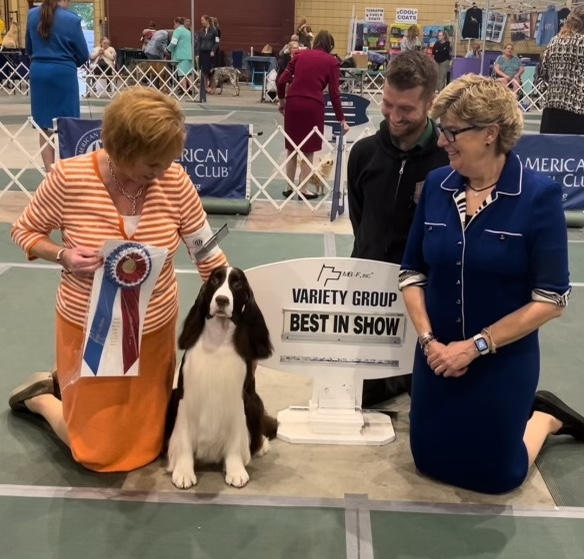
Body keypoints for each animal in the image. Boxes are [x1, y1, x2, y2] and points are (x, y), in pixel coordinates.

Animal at [166, 266, 275, 489]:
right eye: (215, 280)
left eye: (237, 284)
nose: (222, 300)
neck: (217, 340)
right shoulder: (186, 399)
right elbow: (183, 439)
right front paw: (183, 472)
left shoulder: (237, 401)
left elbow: (235, 440)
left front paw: (236, 471)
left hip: (254, 401)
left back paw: (261, 446)